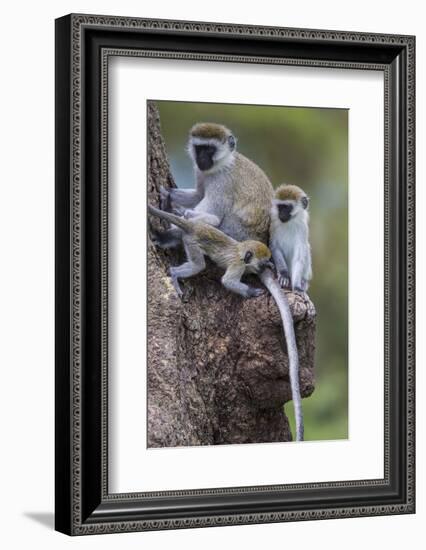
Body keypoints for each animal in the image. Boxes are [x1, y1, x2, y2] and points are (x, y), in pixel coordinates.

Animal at [156, 123, 306, 442]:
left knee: (214, 225)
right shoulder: (203, 176)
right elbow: (195, 193)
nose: (201, 159)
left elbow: (209, 213)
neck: (220, 166)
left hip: (235, 237)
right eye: (199, 148)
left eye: (210, 149)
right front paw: (166, 193)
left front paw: (177, 213)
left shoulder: (221, 183)